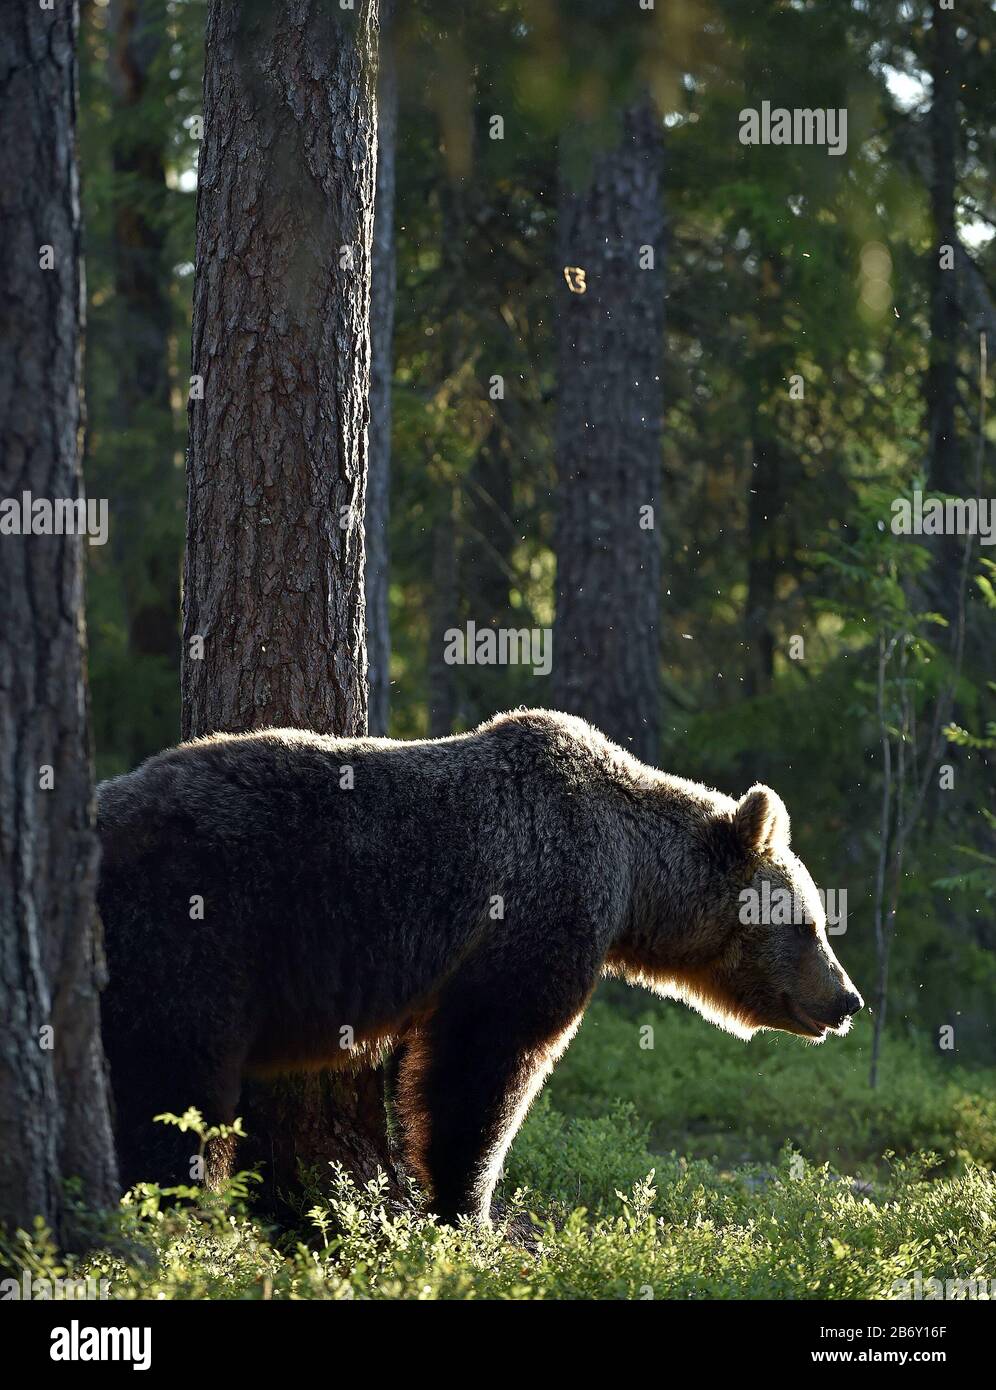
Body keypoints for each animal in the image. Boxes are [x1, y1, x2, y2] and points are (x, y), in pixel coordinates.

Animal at [99, 711, 861, 1223]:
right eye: (808, 923)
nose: (847, 1000)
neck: (632, 876)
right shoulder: (534, 916)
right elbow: (484, 1068)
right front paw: (467, 1203)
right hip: (194, 933)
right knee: (174, 1077)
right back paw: (173, 1202)